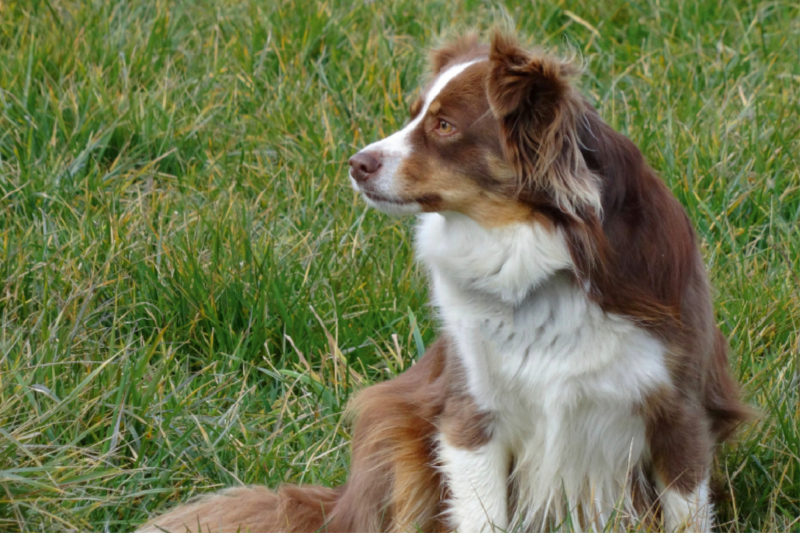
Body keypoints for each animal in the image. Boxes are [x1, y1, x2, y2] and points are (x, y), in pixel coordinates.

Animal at [139, 32, 752, 532]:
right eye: (413, 114)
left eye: (444, 125)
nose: (355, 163)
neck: (540, 250)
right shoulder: (470, 412)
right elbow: (482, 514)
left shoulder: (679, 415)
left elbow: (686, 511)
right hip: (396, 428)